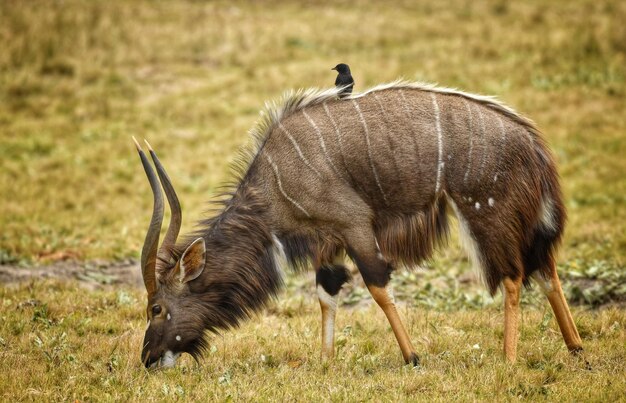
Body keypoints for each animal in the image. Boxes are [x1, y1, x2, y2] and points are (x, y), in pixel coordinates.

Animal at [134, 81, 584, 370]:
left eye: (156, 308)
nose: (148, 359)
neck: (274, 183)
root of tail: (533, 144)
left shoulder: (354, 226)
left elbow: (377, 286)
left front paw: (412, 357)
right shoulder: (328, 242)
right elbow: (326, 294)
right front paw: (325, 361)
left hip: (485, 212)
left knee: (513, 276)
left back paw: (507, 360)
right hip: (524, 221)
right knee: (547, 269)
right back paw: (576, 347)